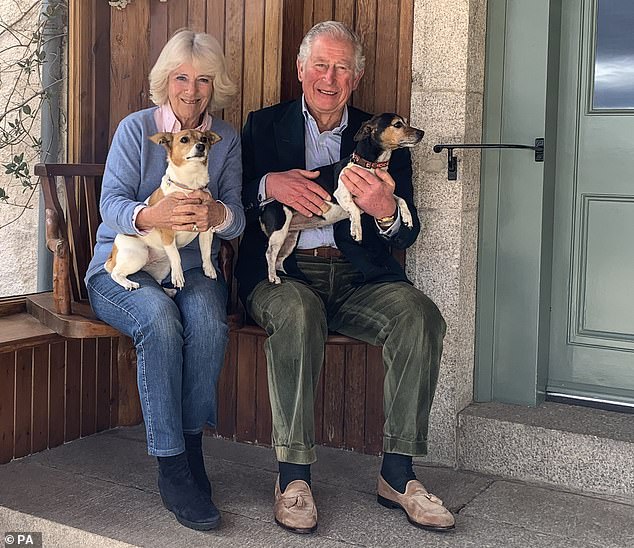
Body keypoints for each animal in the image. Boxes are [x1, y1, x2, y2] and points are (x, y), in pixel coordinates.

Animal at [105, 128, 221, 292]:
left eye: (204, 139)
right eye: (184, 140)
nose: (201, 146)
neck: (190, 186)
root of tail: (113, 255)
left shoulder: (206, 231)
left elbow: (206, 253)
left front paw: (209, 269)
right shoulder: (168, 235)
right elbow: (177, 258)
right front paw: (178, 277)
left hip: (163, 265)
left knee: (159, 282)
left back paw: (168, 291)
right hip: (138, 253)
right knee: (115, 273)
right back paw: (129, 283)